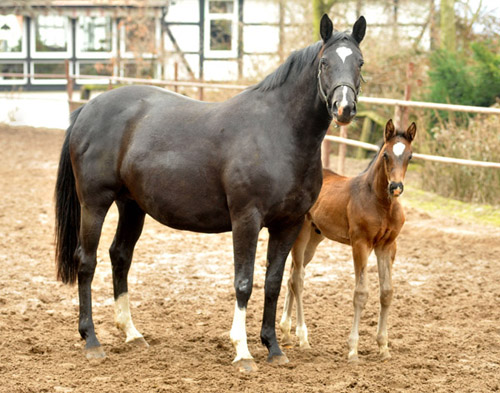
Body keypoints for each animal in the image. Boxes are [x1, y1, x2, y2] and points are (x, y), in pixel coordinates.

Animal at [54, 14, 366, 370]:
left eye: (359, 62)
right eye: (325, 62)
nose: (344, 108)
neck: (278, 132)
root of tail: (88, 109)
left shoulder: (289, 224)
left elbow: (272, 282)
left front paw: (273, 348)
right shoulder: (246, 220)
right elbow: (244, 282)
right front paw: (242, 351)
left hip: (131, 206)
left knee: (119, 256)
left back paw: (132, 334)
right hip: (94, 204)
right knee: (86, 261)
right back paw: (91, 340)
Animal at [280, 119, 416, 362]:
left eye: (410, 156)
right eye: (386, 155)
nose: (396, 187)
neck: (381, 203)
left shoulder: (387, 246)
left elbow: (387, 292)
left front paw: (384, 347)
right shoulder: (361, 244)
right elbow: (360, 293)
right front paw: (353, 350)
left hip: (315, 239)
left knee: (292, 275)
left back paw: (287, 332)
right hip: (301, 234)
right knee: (297, 279)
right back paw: (303, 339)